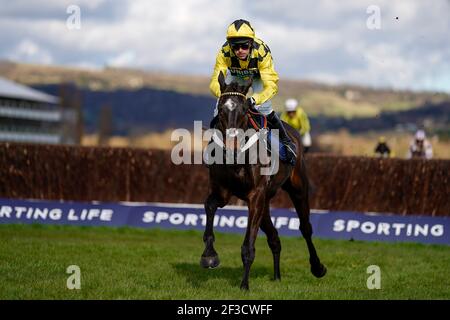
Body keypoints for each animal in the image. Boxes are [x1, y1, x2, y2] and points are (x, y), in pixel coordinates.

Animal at [200, 72, 326, 290]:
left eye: (244, 110)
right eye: (222, 109)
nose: (232, 145)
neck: (237, 158)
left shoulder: (255, 195)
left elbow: (248, 245)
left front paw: (244, 285)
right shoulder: (223, 192)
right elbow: (209, 206)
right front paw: (209, 256)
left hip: (297, 188)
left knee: (305, 228)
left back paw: (317, 267)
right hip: (265, 201)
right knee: (274, 237)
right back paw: (277, 276)